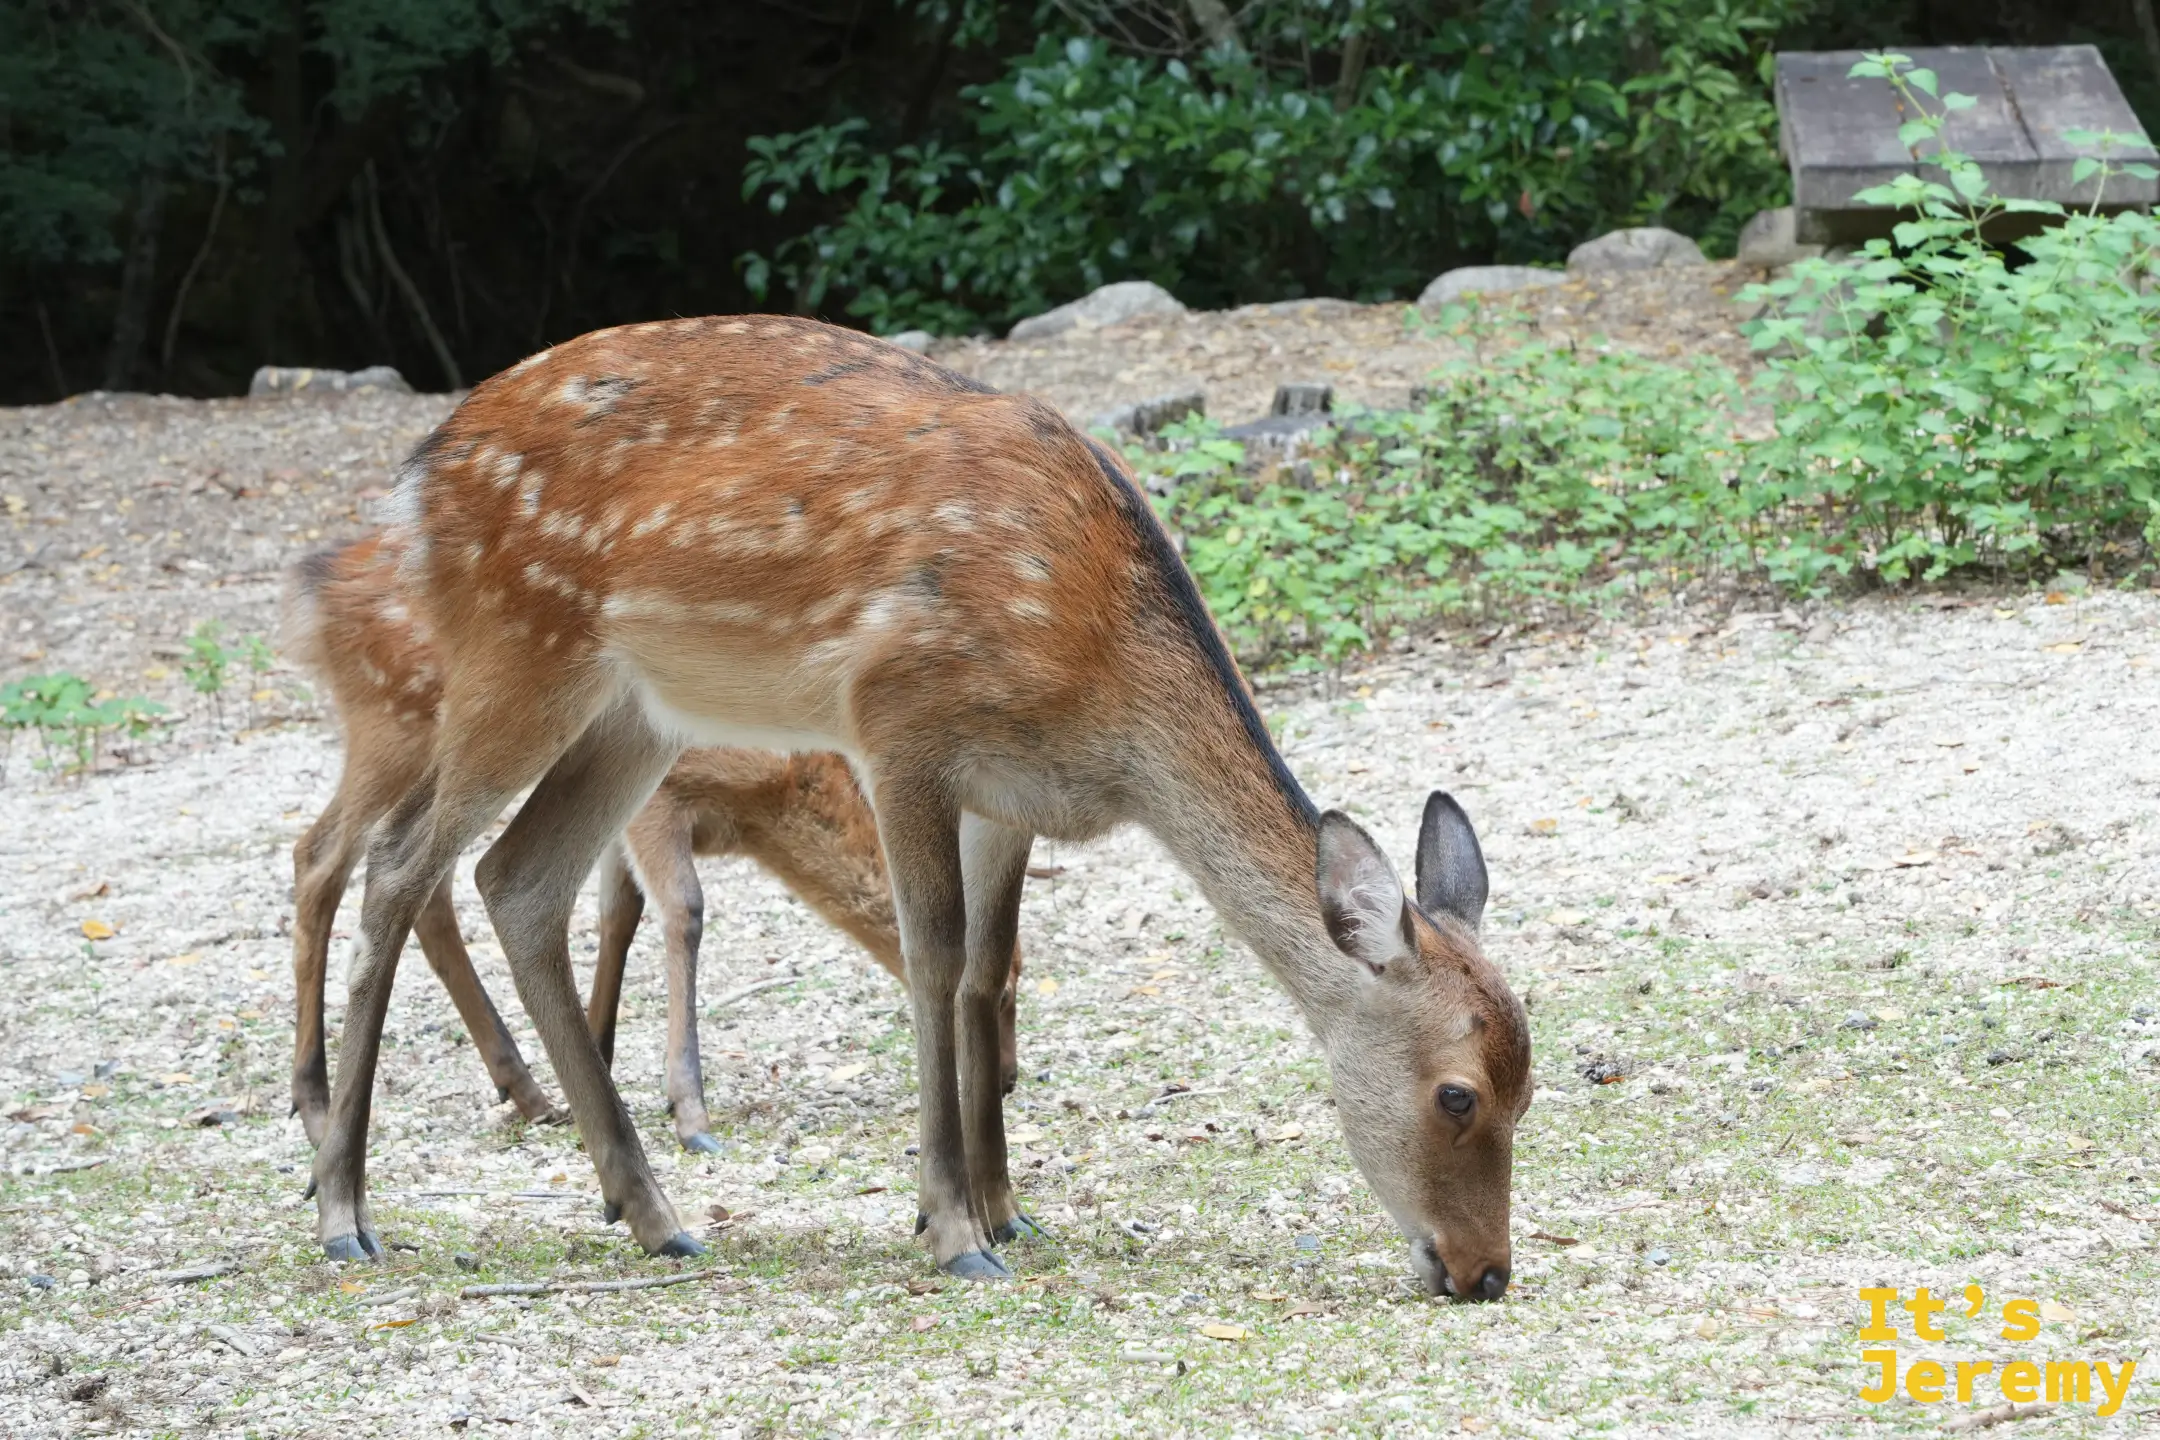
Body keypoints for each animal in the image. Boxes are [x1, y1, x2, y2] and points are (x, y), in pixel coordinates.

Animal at [281, 532, 1021, 1157]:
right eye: (1006, 990)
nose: (1010, 1077)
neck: (768, 794)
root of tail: (318, 591)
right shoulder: (662, 795)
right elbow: (683, 913)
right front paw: (687, 1110)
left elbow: (618, 917)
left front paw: (597, 1059)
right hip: (395, 728)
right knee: (322, 856)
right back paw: (315, 1106)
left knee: (416, 889)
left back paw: (523, 1088)